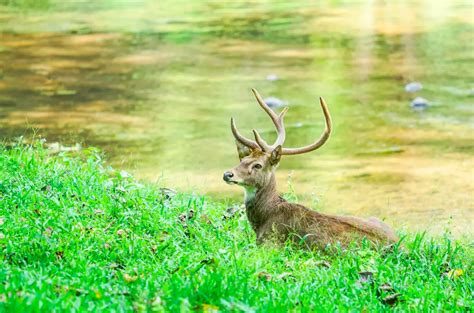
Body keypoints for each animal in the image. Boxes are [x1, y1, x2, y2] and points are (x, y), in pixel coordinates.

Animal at [222, 89, 396, 250]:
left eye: (258, 165)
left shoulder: (270, 242)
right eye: (242, 160)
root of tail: (397, 245)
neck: (264, 218)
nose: (227, 174)